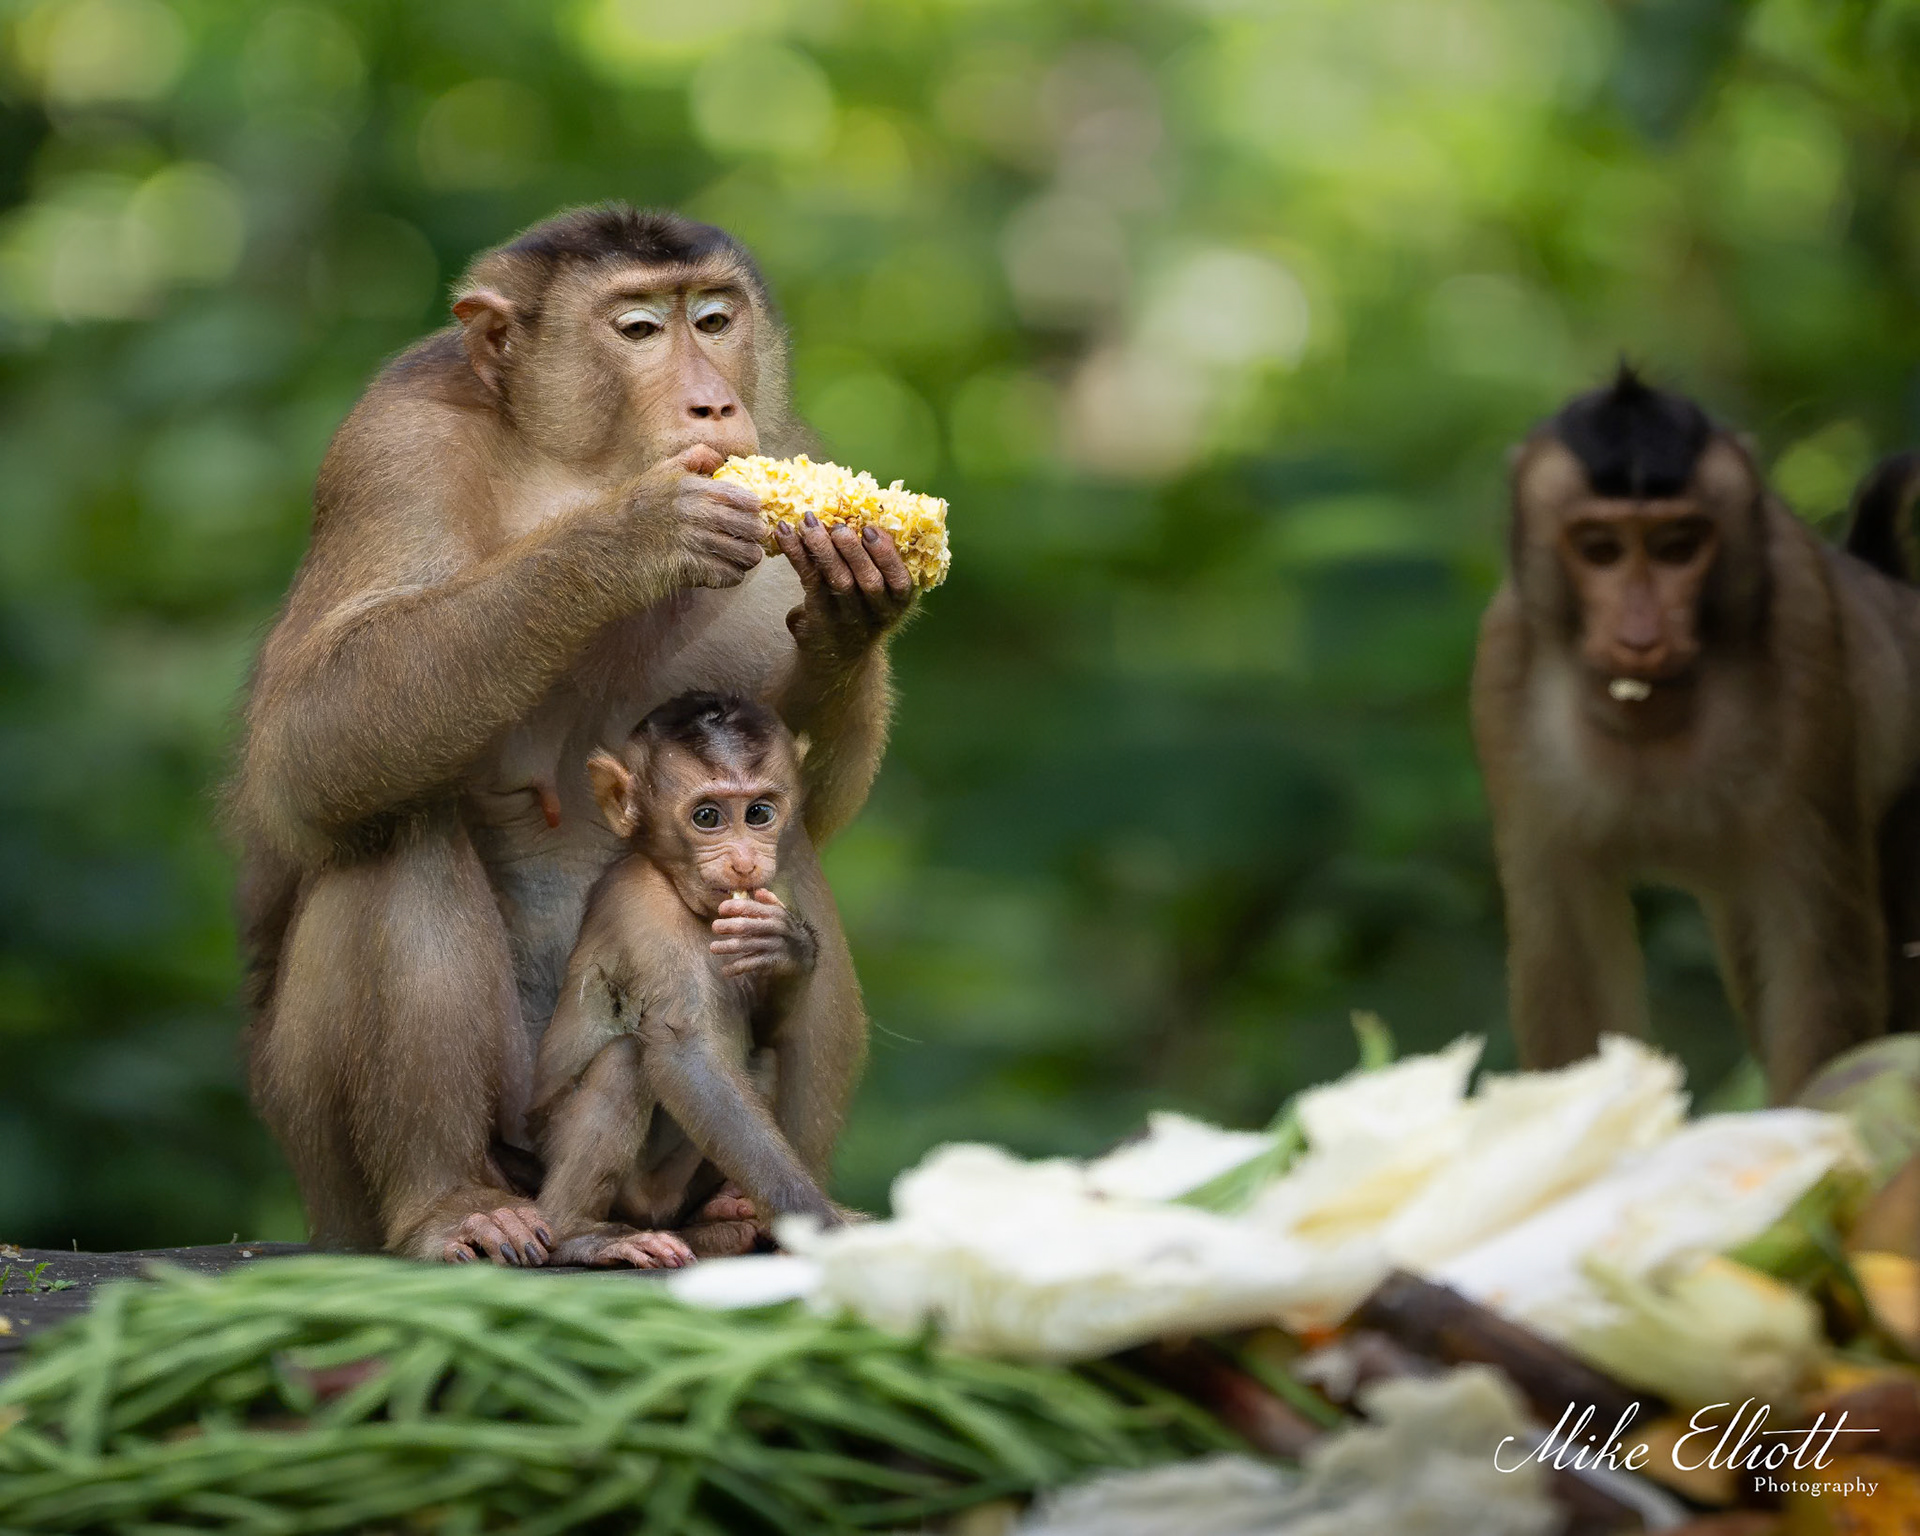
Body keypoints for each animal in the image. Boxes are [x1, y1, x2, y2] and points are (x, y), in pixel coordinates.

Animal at [529, 692, 858, 1269]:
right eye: (707, 817)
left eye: (759, 813)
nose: (745, 862)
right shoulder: (644, 907)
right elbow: (686, 1052)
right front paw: (817, 1223)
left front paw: (788, 948)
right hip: (620, 1183)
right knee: (625, 1061)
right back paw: (579, 1234)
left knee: (763, 1059)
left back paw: (722, 1217)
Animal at [1473, 368, 1920, 1101]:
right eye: (1599, 550)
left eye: (1678, 546)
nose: (1641, 638)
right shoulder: (1502, 673)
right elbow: (1568, 964)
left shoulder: (1803, 643)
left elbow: (1816, 962)